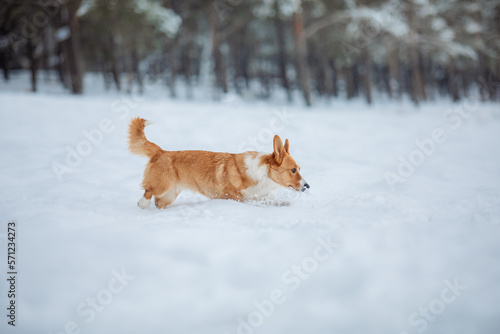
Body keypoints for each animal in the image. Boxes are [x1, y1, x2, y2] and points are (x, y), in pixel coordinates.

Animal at [128, 117, 308, 209]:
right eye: (293, 170)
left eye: (299, 168)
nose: (307, 186)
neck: (263, 175)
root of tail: (161, 151)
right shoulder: (233, 196)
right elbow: (250, 200)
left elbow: (269, 200)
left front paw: (283, 203)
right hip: (162, 185)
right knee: (148, 192)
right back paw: (142, 204)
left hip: (170, 194)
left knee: (159, 202)